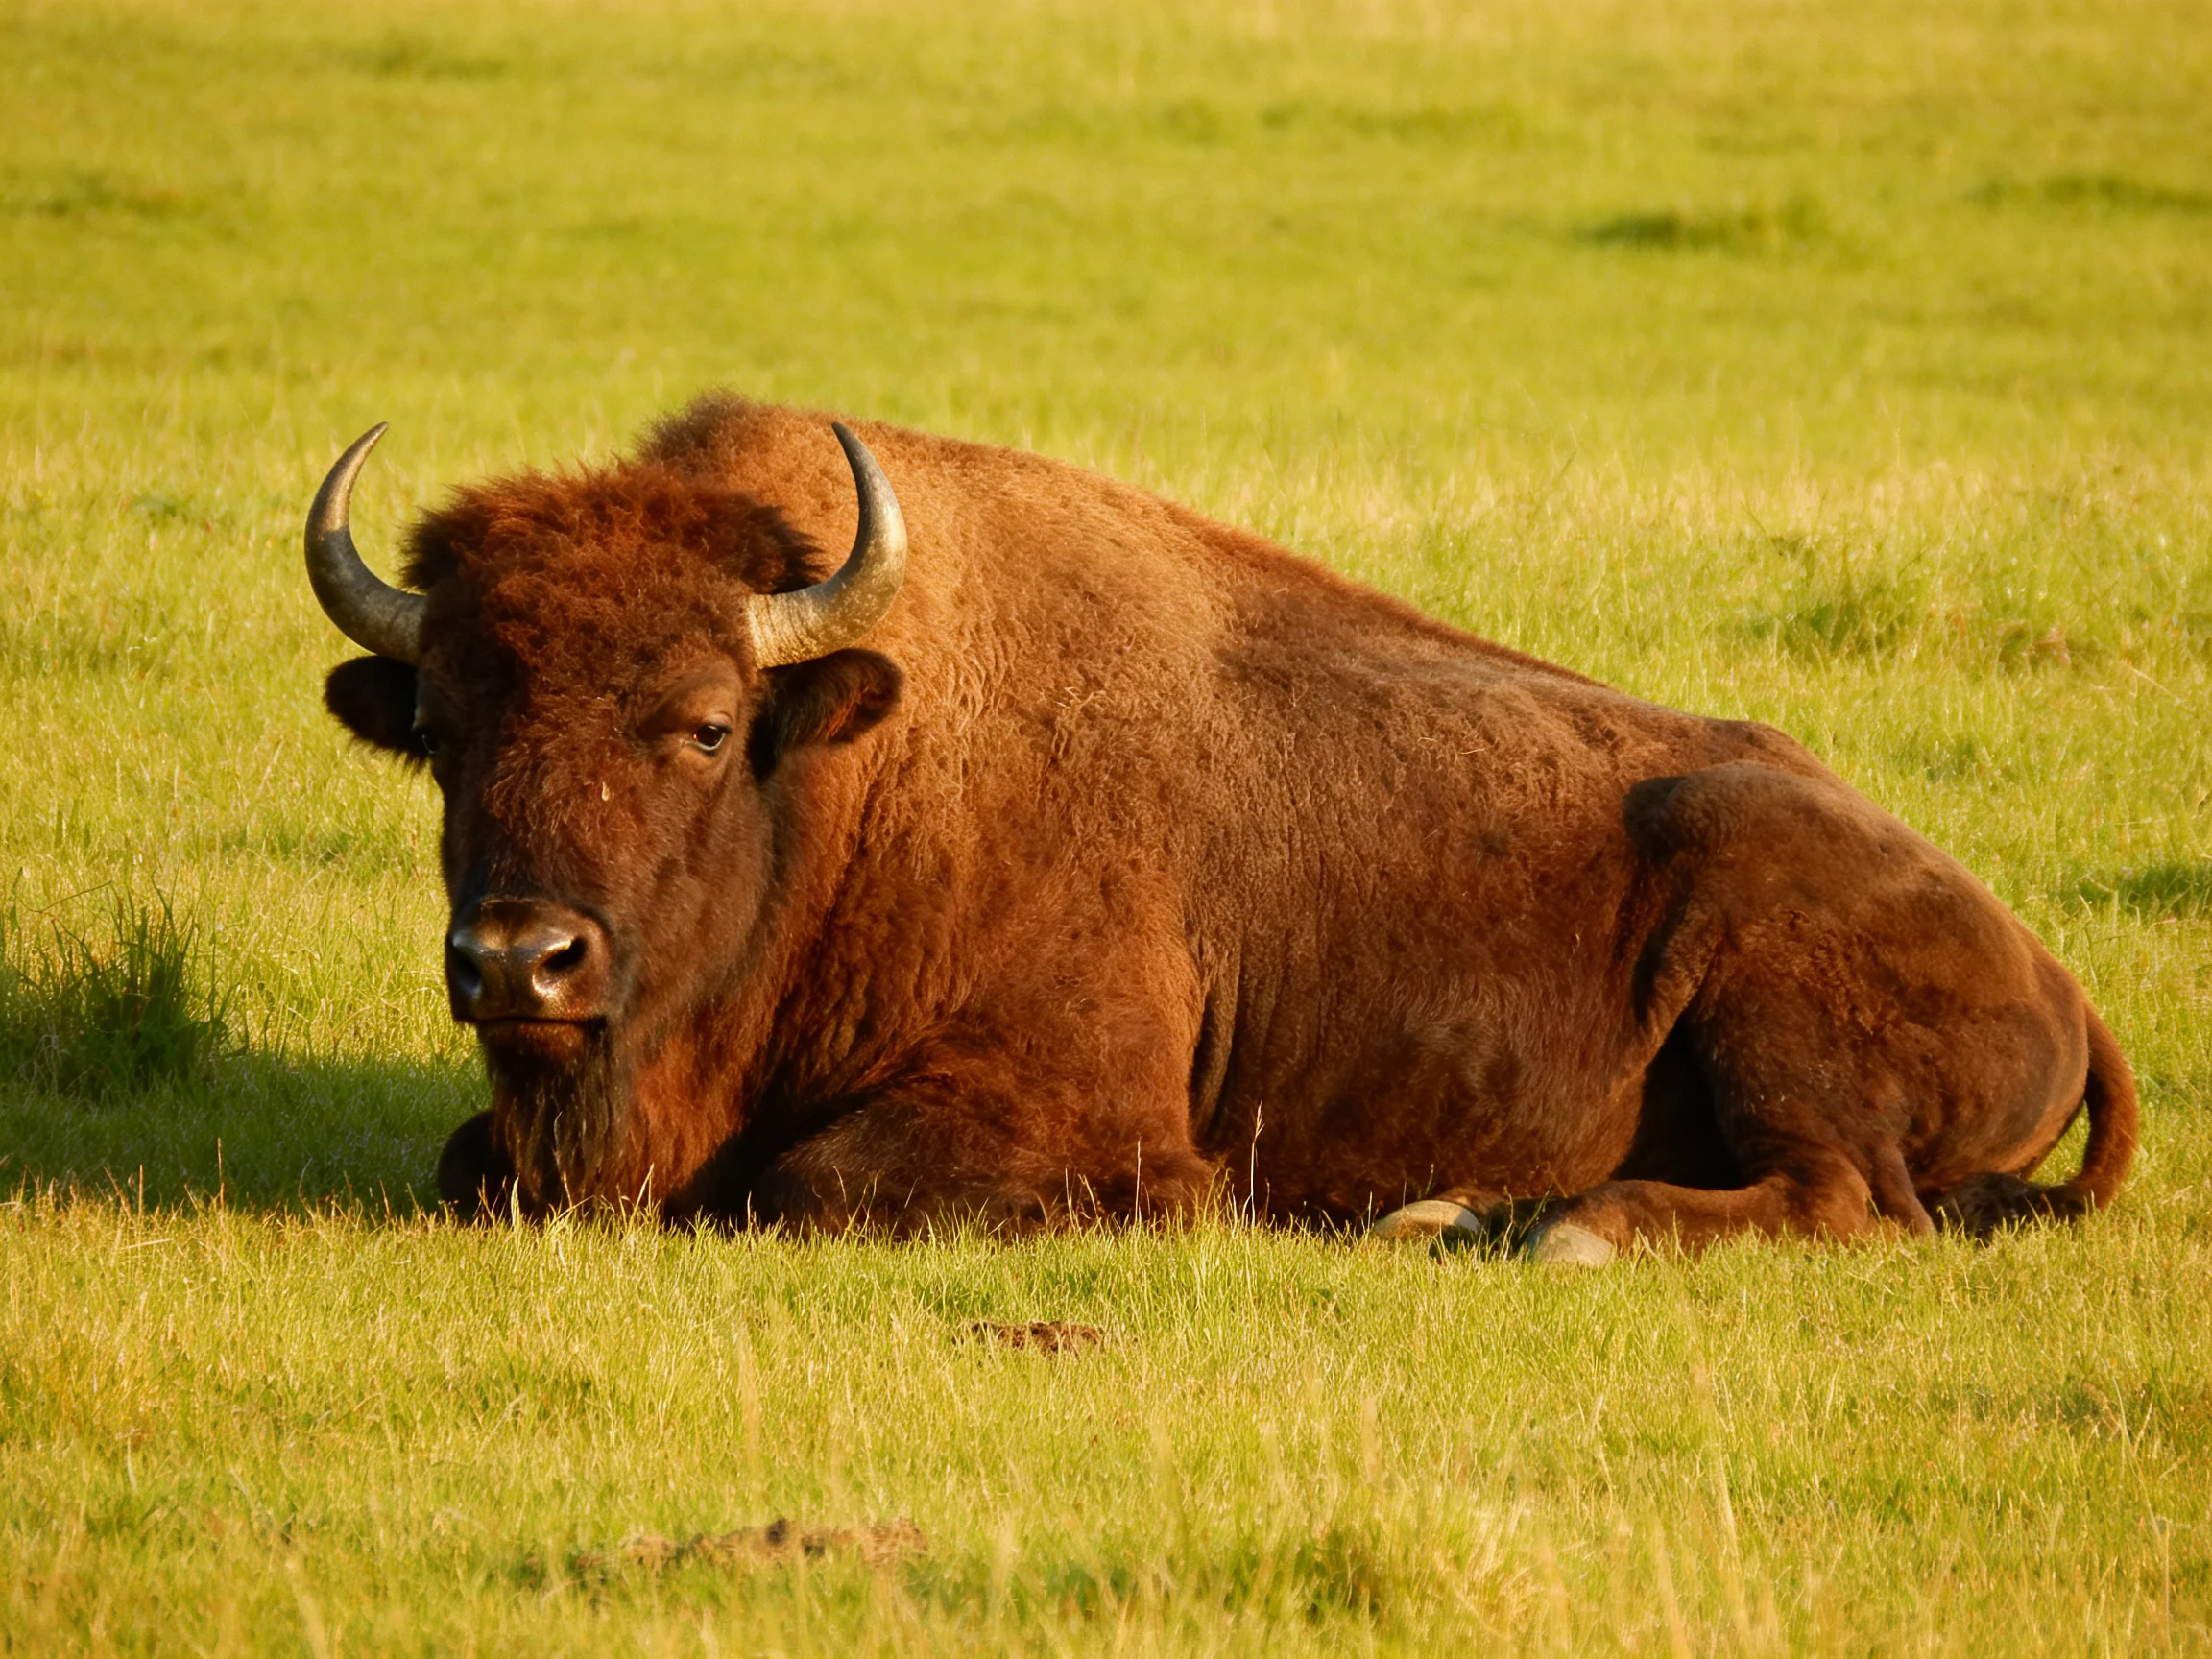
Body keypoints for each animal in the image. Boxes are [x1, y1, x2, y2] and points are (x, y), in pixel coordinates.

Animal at [307, 397, 2134, 1261]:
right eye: (442, 731)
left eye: (700, 724)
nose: (520, 961)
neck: (852, 766)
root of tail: (2047, 966)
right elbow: (465, 1160)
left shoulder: (1073, 1104)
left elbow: (813, 1184)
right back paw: (1456, 1217)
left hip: (1772, 1007)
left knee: (1841, 1199)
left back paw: (1568, 1232)